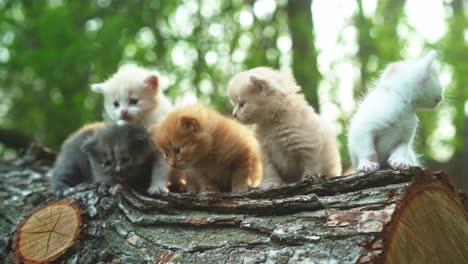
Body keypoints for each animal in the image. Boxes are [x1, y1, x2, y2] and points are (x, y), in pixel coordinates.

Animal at [90, 65, 173, 195]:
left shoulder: (162, 149)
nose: (123, 112)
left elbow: (161, 168)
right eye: (116, 104)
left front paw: (158, 187)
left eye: (134, 101)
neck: (141, 123)